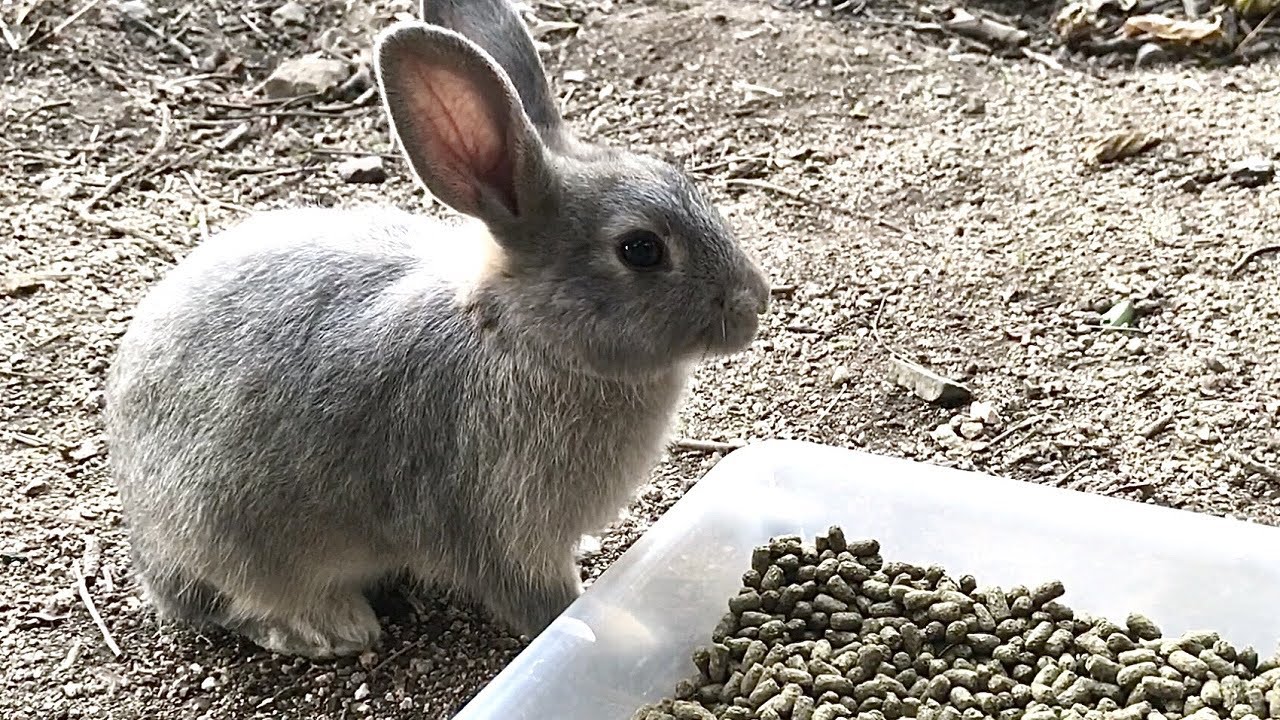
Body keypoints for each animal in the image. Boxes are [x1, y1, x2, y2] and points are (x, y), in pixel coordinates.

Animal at [103, 0, 770, 660]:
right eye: (641, 250)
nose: (756, 301)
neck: (519, 334)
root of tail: (147, 556)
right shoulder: (500, 525)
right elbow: (543, 603)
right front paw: (616, 631)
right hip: (233, 537)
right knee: (231, 604)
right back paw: (332, 627)